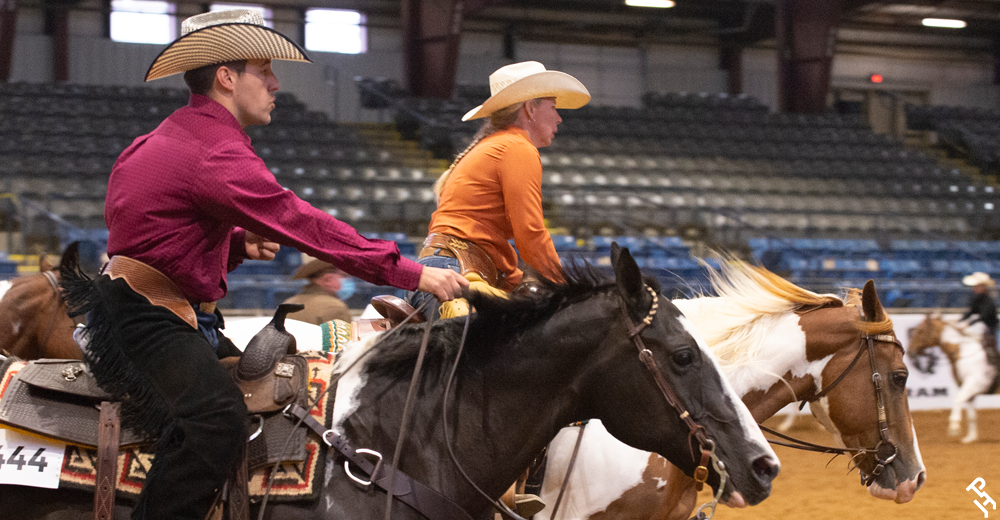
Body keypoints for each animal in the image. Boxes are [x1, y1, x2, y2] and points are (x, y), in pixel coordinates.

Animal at [912, 312, 996, 442]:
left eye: (920, 331)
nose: (909, 350)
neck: (963, 353)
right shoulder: (969, 390)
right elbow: (971, 414)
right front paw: (971, 437)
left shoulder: (975, 384)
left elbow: (958, 399)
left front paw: (954, 426)